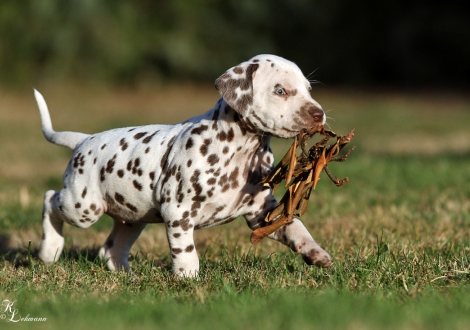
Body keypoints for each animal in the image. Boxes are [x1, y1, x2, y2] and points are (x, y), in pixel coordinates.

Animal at [35, 54, 332, 276]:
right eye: (280, 90)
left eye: (308, 89)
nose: (319, 114)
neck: (239, 151)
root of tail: (84, 139)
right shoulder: (178, 212)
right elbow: (186, 251)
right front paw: (188, 279)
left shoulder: (262, 212)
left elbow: (295, 228)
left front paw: (315, 253)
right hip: (83, 207)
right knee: (50, 199)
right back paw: (49, 250)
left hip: (131, 217)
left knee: (109, 248)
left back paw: (126, 274)